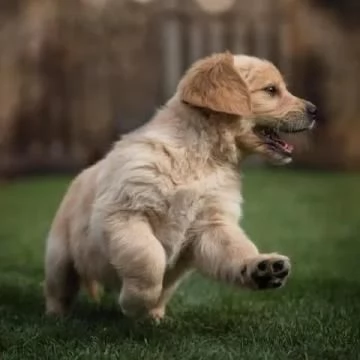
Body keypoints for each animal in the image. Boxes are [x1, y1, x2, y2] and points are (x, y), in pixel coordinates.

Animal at [43, 51, 316, 320]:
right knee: (58, 289)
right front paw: (133, 302)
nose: (315, 110)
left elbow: (235, 248)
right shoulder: (125, 212)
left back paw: (155, 316)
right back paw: (57, 316)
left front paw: (261, 266)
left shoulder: (211, 224)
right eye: (271, 90)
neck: (202, 158)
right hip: (59, 256)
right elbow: (149, 257)